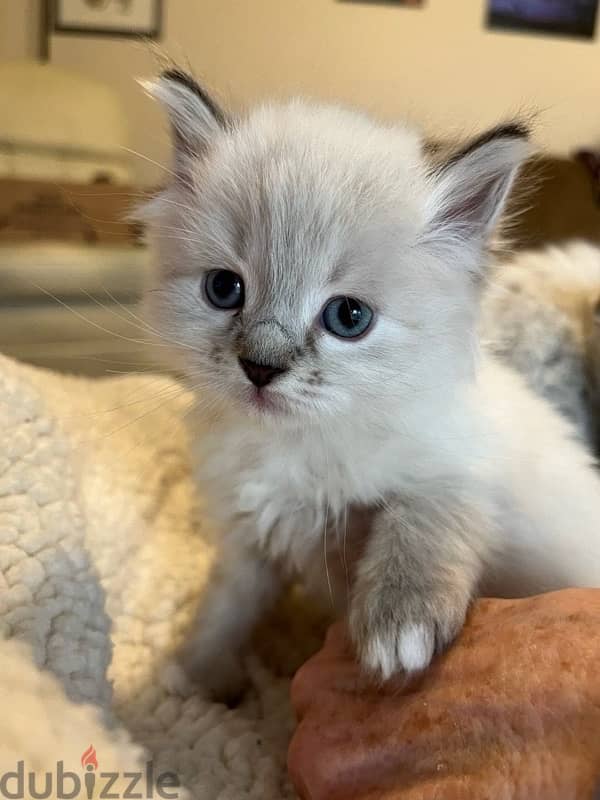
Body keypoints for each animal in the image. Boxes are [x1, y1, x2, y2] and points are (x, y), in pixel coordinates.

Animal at [144, 72, 600, 700]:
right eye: (224, 289)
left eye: (348, 318)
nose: (259, 367)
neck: (299, 444)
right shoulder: (250, 540)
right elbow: (224, 610)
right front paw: (192, 677)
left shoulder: (459, 471)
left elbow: (419, 518)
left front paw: (398, 629)